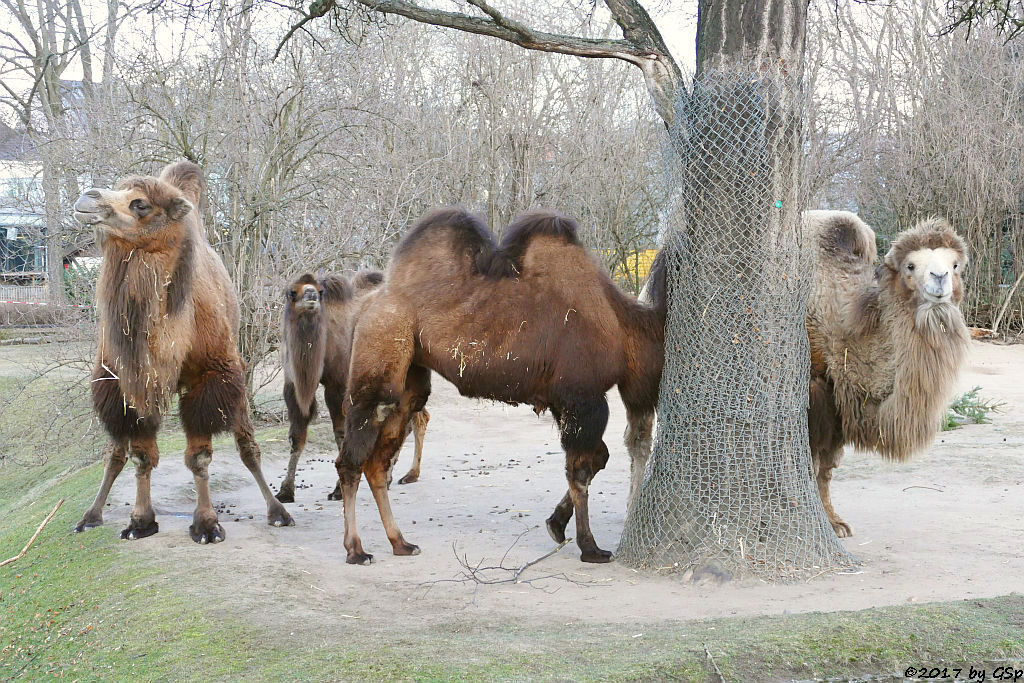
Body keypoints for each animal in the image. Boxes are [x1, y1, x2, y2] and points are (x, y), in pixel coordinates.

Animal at [71, 161, 296, 544]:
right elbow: (140, 456)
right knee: (115, 452)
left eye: (140, 204)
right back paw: (90, 515)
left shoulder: (211, 377)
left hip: (234, 380)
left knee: (248, 445)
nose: (88, 198)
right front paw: (140, 522)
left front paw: (206, 525)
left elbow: (200, 457)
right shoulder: (128, 381)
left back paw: (278, 512)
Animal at [274, 270, 430, 505]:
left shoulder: (337, 385)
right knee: (414, 418)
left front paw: (338, 490)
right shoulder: (293, 386)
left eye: (320, 291)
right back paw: (397, 475)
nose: (311, 295)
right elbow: (296, 436)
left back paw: (405, 475)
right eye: (292, 292)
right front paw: (285, 491)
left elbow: (340, 433)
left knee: (416, 418)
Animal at [337, 208, 671, 565]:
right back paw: (356, 550)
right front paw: (590, 547)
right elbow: (581, 470)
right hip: (380, 351)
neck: (623, 328)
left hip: (410, 378)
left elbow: (598, 458)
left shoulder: (562, 401)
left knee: (378, 461)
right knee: (351, 458)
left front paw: (556, 524)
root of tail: (366, 305)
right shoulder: (582, 397)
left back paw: (400, 542)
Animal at [806, 210, 966, 536]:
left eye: (955, 264)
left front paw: (835, 523)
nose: (939, 277)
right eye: (910, 266)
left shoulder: (841, 405)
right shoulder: (816, 389)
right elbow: (813, 461)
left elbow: (827, 468)